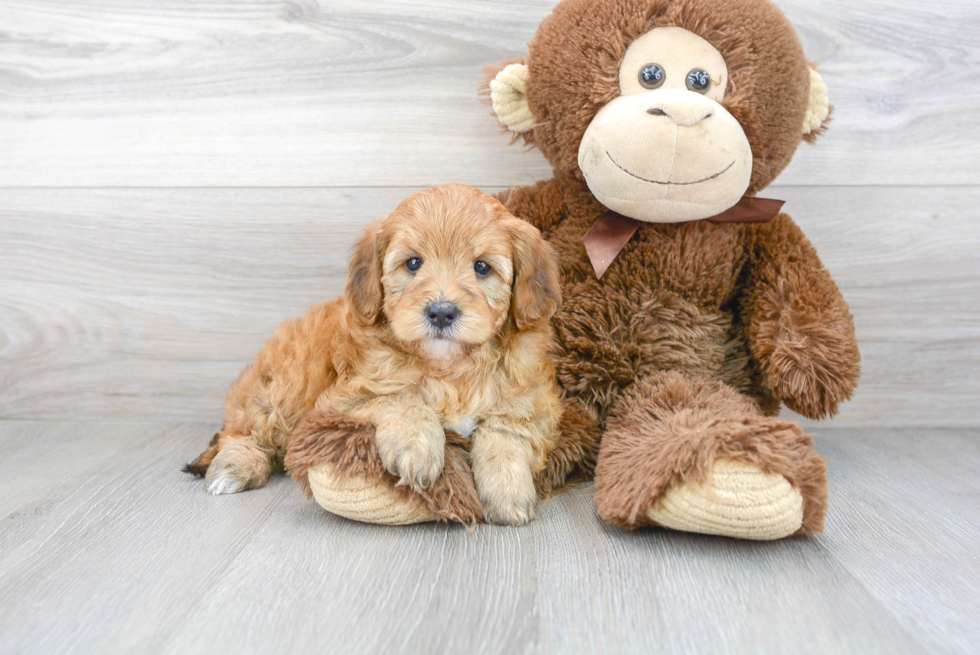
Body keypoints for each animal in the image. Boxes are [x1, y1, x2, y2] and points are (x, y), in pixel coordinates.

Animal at [187, 184, 564, 528]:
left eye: (482, 268)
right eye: (413, 263)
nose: (441, 312)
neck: (449, 368)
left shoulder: (532, 405)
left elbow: (505, 433)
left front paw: (508, 491)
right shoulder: (345, 398)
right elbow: (402, 397)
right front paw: (417, 449)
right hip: (286, 385)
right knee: (244, 432)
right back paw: (234, 467)